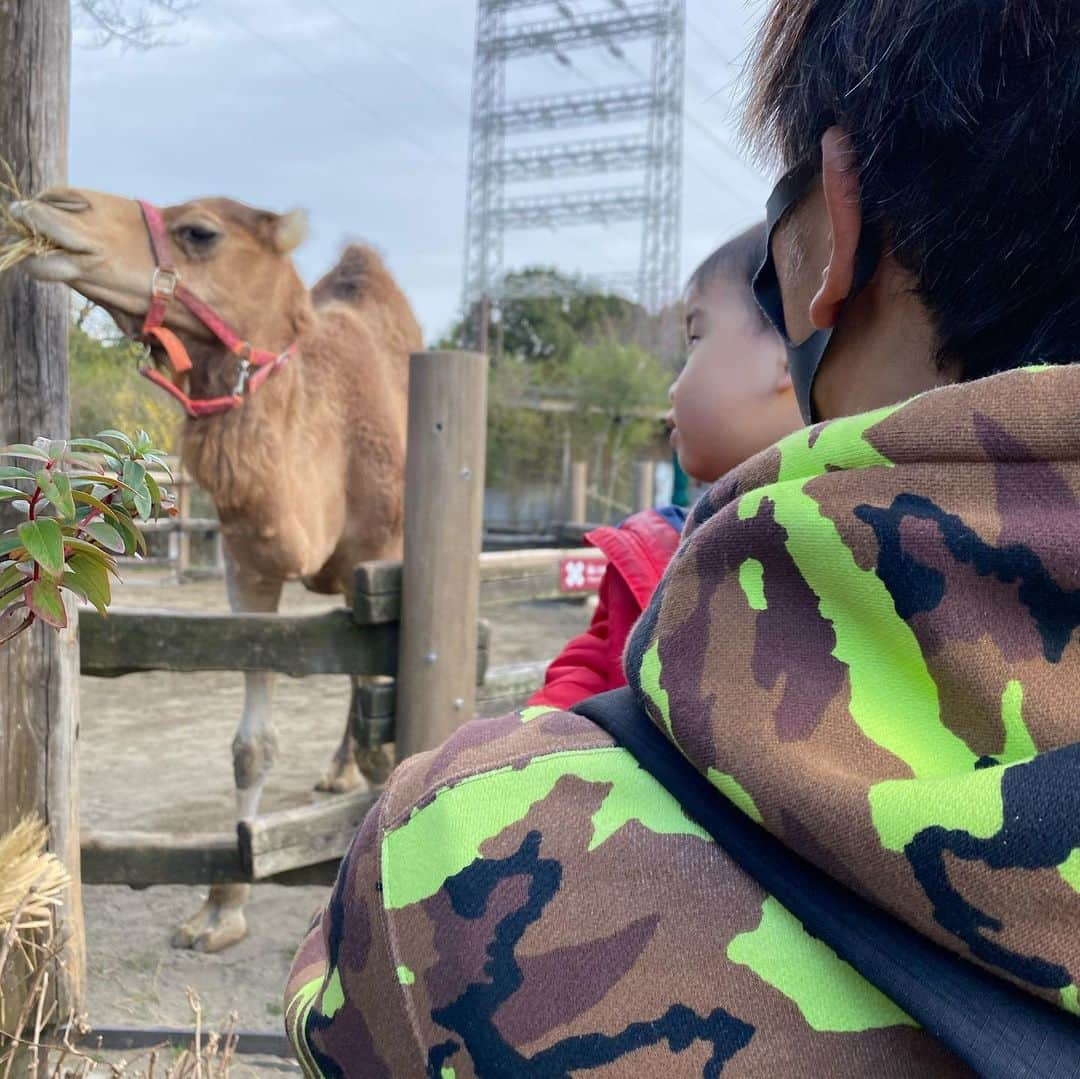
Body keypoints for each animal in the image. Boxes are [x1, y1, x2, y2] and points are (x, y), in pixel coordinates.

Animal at [13, 190, 416, 950]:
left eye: (200, 232)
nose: (53, 205)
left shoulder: (389, 557)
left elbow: (382, 714)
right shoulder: (248, 562)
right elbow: (251, 744)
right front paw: (220, 908)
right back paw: (334, 773)